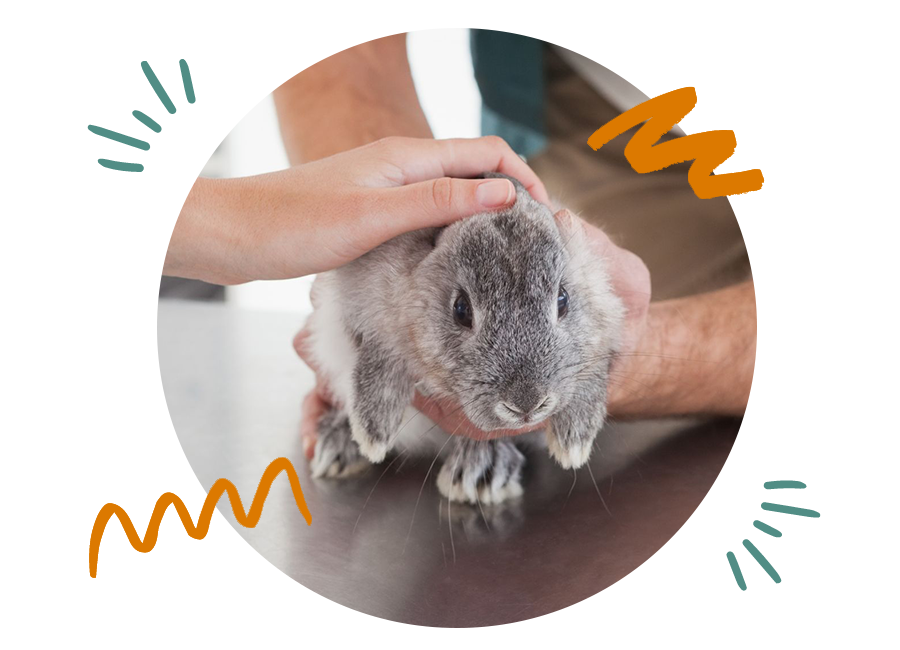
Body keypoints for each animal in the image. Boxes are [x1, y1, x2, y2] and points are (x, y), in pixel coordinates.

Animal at [304, 173, 624, 505]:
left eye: (562, 299)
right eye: (461, 309)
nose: (526, 404)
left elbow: (591, 369)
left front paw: (573, 444)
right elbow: (379, 357)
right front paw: (372, 434)